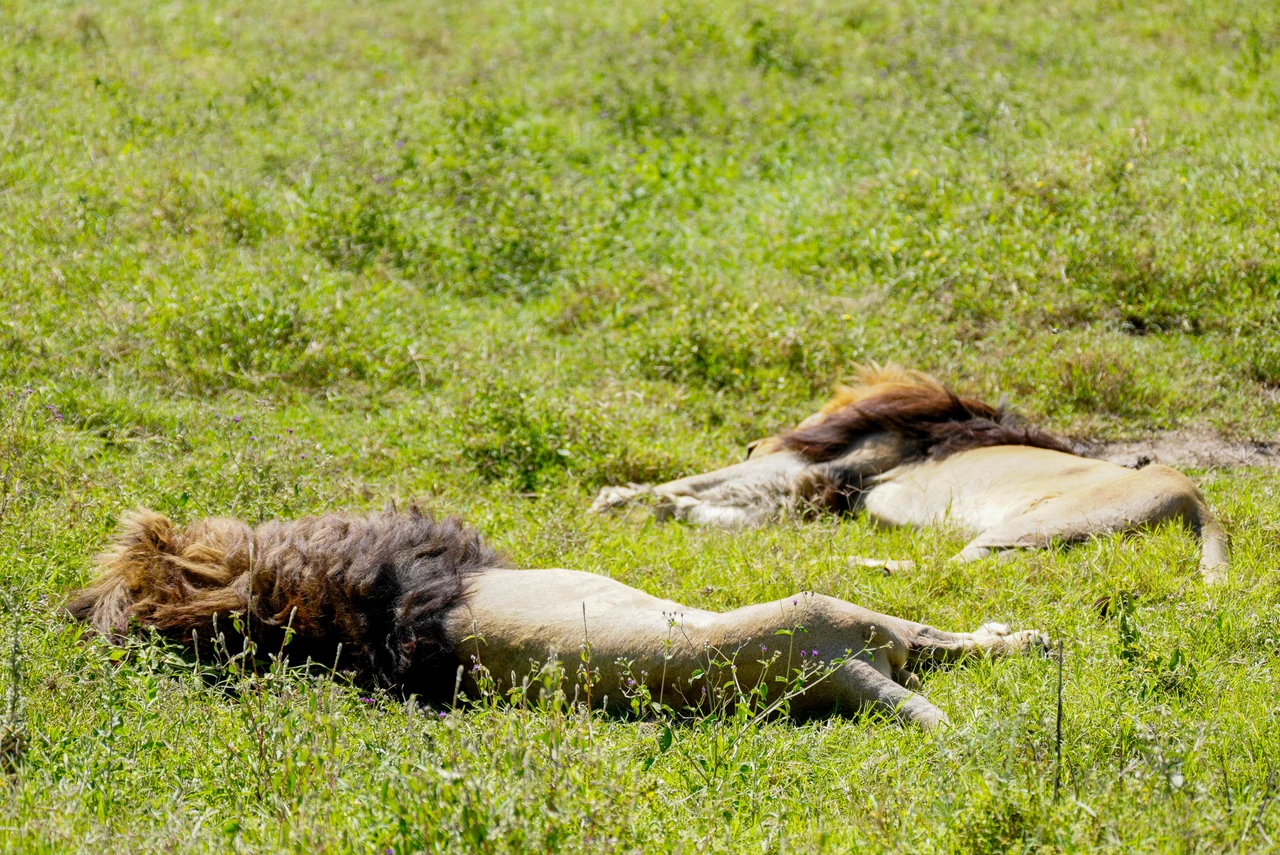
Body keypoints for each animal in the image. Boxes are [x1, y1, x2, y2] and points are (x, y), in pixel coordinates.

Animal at [592, 365, 1229, 582]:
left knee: (952, 568)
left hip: (1035, 526)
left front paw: (617, 499)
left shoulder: (825, 463)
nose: (751, 442)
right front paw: (680, 510)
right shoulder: (820, 486)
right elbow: (727, 504)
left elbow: (699, 480)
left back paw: (851, 563)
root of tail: (1199, 503)